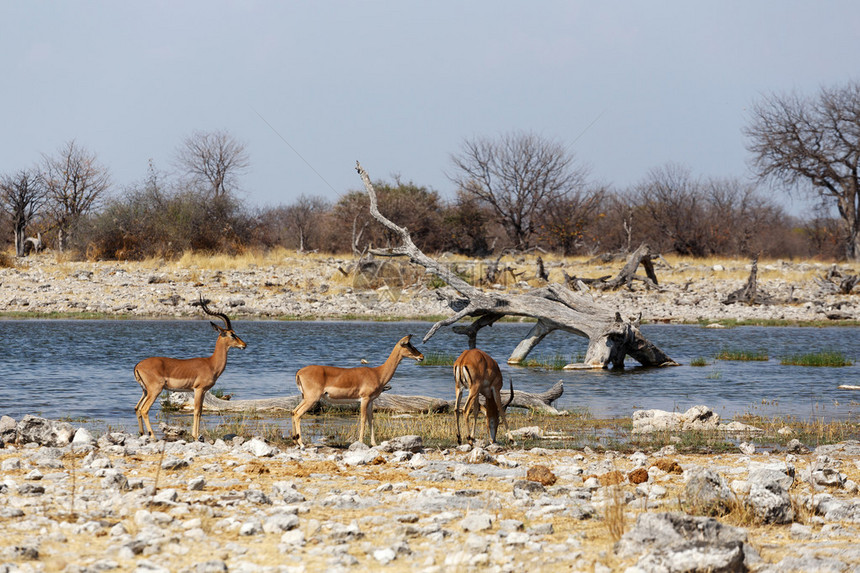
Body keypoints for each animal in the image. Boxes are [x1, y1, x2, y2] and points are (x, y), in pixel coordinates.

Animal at [133, 298, 245, 440]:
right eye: (232, 334)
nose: (244, 345)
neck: (211, 363)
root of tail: (138, 365)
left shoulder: (203, 391)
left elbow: (201, 411)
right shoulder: (198, 389)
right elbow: (196, 411)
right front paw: (195, 436)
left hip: (145, 391)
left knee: (137, 408)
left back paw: (143, 434)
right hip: (155, 390)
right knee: (144, 409)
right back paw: (152, 436)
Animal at [294, 336, 424, 446]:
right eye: (408, 345)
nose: (421, 356)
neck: (378, 373)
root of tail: (299, 371)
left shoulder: (371, 401)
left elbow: (371, 420)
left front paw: (374, 443)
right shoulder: (364, 399)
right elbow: (363, 419)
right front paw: (361, 442)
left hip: (305, 398)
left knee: (294, 411)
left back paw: (296, 441)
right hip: (312, 399)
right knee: (298, 414)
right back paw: (301, 444)